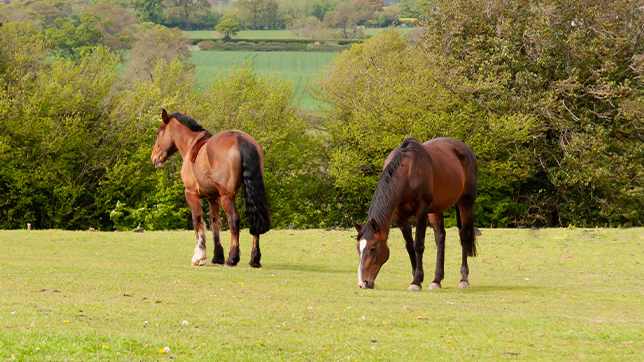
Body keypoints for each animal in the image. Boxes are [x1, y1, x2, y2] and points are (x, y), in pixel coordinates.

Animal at [150, 109, 270, 268]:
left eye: (158, 132)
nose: (154, 158)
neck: (191, 145)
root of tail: (240, 140)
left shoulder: (191, 194)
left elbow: (197, 220)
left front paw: (199, 256)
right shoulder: (213, 198)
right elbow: (215, 223)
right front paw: (217, 256)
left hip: (227, 195)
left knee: (233, 220)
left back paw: (232, 258)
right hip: (252, 190)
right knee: (256, 219)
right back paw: (254, 259)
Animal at [354, 136, 476, 292]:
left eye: (373, 248)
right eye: (358, 248)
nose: (363, 283)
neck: (408, 172)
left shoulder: (421, 211)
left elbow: (418, 244)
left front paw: (416, 281)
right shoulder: (400, 217)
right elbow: (410, 246)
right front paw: (416, 276)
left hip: (466, 203)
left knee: (464, 236)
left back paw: (463, 279)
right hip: (435, 210)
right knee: (440, 238)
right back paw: (436, 280)